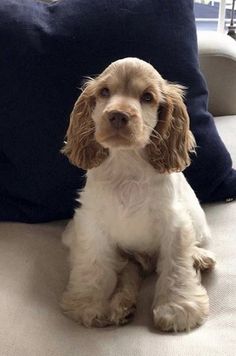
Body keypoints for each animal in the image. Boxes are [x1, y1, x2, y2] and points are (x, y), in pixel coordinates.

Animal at [60, 57, 216, 332]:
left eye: (147, 97)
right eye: (104, 92)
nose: (118, 115)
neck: (127, 163)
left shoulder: (174, 224)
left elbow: (177, 266)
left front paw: (176, 308)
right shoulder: (92, 224)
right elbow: (93, 267)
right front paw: (88, 305)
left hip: (195, 222)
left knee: (189, 249)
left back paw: (200, 257)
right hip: (126, 256)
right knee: (129, 272)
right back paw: (121, 307)